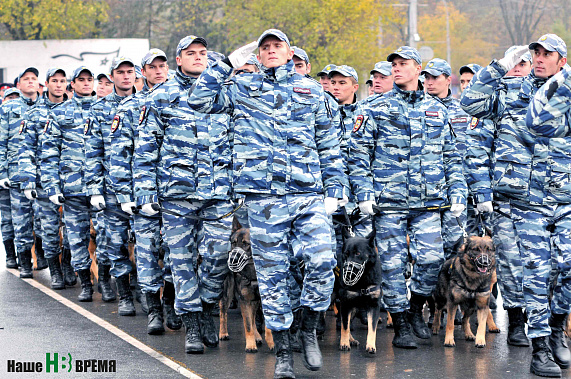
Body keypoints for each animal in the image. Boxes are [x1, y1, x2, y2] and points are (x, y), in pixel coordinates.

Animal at [219, 218, 274, 354]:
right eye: (234, 243)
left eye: (245, 244)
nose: (232, 259)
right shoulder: (244, 300)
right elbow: (247, 324)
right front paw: (250, 345)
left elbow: (262, 324)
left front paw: (270, 342)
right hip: (228, 293)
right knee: (223, 311)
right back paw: (223, 333)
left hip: (254, 300)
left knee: (253, 317)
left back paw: (257, 336)